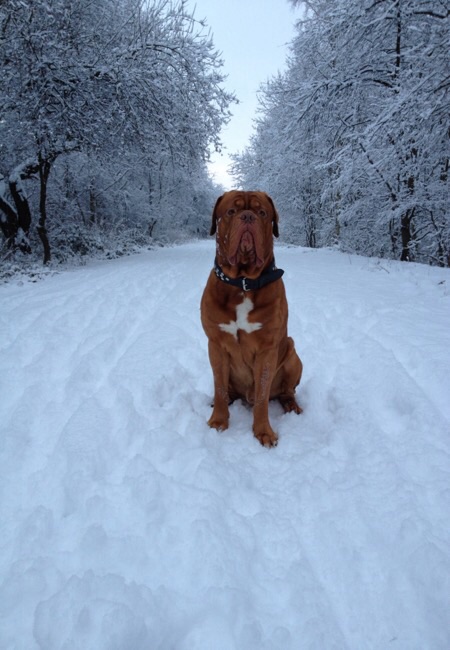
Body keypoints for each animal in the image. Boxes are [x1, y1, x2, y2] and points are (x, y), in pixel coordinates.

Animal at [200, 190, 302, 447]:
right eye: (231, 211)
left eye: (262, 212)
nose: (247, 217)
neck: (243, 283)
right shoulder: (216, 345)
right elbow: (219, 387)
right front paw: (218, 421)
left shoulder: (267, 349)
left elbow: (262, 396)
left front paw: (263, 432)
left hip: (293, 355)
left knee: (286, 392)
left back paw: (293, 406)